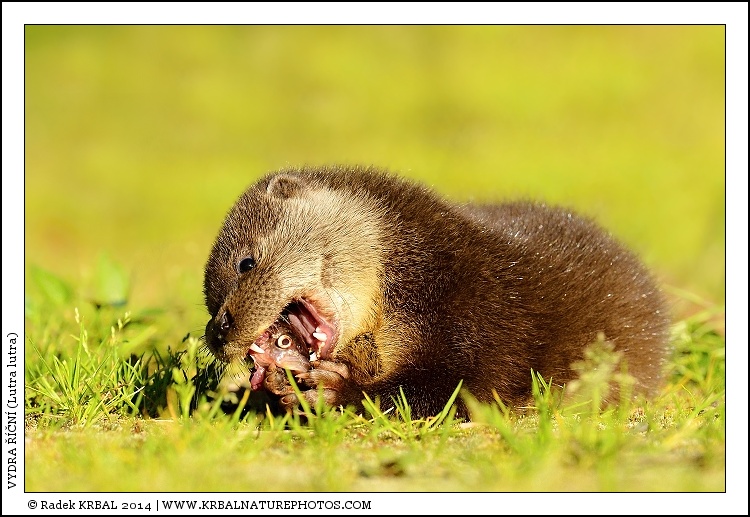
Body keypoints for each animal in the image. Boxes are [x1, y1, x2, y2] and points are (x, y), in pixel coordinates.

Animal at [203, 165, 670, 419]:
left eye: (245, 263)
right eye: (210, 303)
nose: (218, 331)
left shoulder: (481, 313)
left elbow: (454, 390)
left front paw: (336, 391)